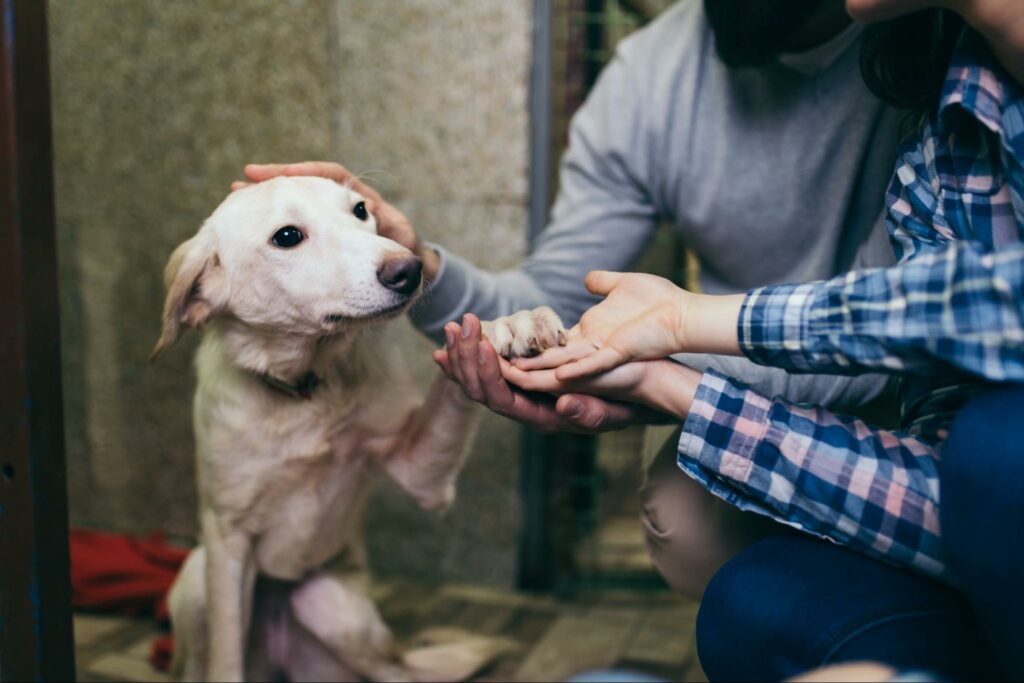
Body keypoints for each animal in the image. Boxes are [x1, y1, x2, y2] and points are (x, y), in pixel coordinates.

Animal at [154, 178, 565, 683]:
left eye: (361, 210)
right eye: (287, 236)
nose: (409, 269)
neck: (305, 390)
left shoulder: (420, 472)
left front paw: (505, 325)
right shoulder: (227, 540)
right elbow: (226, 659)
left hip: (336, 610)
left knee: (398, 673)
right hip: (197, 579)